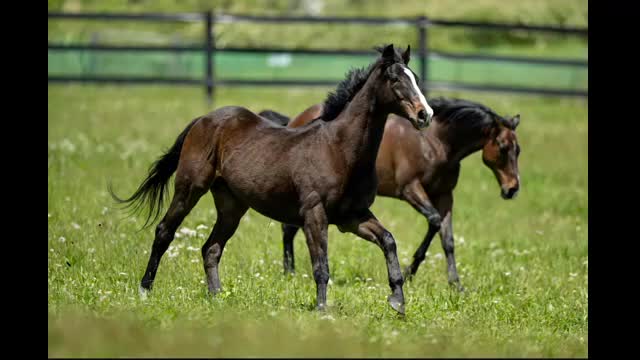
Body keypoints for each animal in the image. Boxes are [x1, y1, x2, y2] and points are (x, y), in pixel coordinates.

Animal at [110, 44, 432, 316]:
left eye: (414, 78)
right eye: (395, 79)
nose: (425, 115)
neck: (339, 150)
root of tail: (204, 119)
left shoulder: (352, 217)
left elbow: (388, 241)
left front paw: (397, 302)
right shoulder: (314, 214)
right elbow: (321, 266)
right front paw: (322, 310)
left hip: (231, 205)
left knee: (211, 248)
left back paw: (217, 297)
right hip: (190, 188)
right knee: (165, 232)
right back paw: (145, 290)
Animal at [260, 97, 520, 292]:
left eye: (518, 150)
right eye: (503, 147)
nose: (512, 189)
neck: (435, 142)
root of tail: (294, 121)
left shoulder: (445, 195)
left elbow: (448, 240)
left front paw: (456, 284)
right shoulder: (410, 189)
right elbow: (434, 221)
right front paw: (410, 272)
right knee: (288, 229)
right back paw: (290, 272)